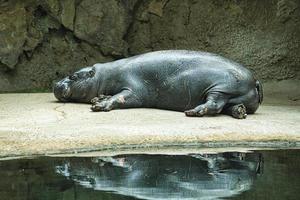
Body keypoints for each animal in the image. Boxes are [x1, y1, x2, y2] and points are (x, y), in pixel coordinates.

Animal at [53, 50, 262, 119]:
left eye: (72, 76)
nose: (56, 84)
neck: (103, 76)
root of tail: (255, 80)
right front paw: (100, 98)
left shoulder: (134, 90)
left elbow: (120, 97)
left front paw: (100, 104)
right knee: (231, 107)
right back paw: (239, 111)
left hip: (220, 88)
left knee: (214, 105)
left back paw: (193, 112)